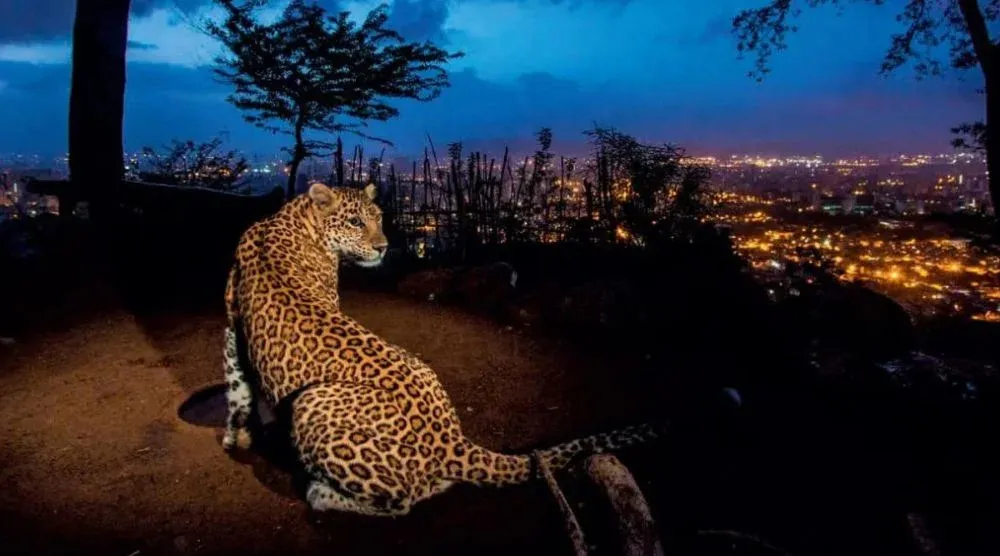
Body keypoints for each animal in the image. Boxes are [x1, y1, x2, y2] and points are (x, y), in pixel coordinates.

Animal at [221, 182, 661, 516]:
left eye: (379, 217)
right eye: (355, 221)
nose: (383, 247)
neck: (291, 218)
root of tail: (453, 440)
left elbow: (237, 385)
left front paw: (241, 436)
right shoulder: (232, 325)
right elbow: (237, 385)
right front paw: (240, 435)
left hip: (310, 402)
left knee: (401, 501)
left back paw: (322, 494)